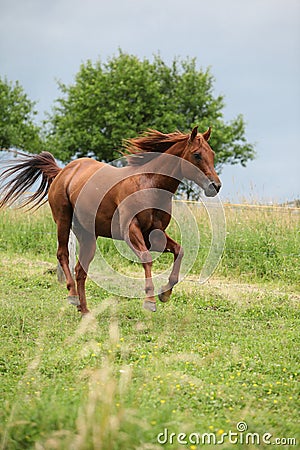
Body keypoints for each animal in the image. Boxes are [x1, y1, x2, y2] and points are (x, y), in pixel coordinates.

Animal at [0, 126, 220, 312]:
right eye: (197, 154)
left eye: (212, 154)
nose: (215, 186)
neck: (149, 183)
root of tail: (63, 171)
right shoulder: (131, 231)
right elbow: (147, 259)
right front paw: (150, 301)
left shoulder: (155, 235)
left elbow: (179, 251)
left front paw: (165, 293)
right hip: (63, 221)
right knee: (63, 254)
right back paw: (72, 296)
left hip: (88, 235)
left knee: (80, 270)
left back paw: (85, 311)